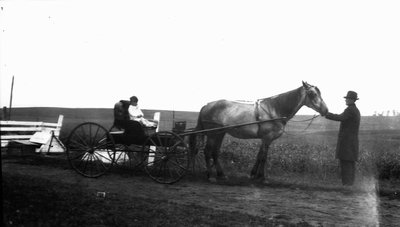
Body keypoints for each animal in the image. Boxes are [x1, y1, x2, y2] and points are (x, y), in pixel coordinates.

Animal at [189, 80, 330, 182]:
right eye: (312, 94)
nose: (325, 110)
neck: (275, 109)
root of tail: (206, 106)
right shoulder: (267, 138)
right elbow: (264, 157)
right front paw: (262, 177)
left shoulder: (265, 139)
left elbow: (259, 155)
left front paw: (253, 174)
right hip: (212, 134)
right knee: (208, 152)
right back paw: (210, 176)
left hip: (220, 133)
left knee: (215, 152)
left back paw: (221, 174)